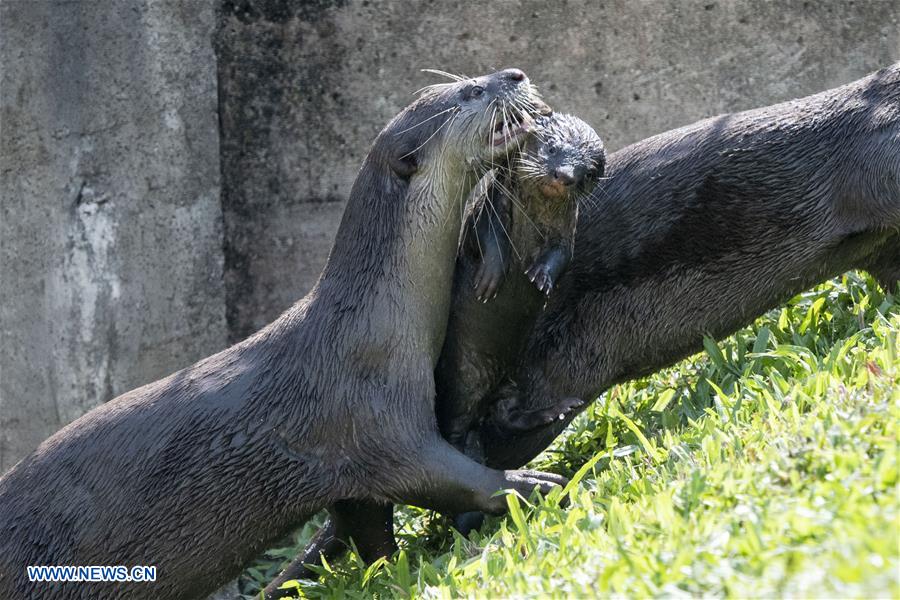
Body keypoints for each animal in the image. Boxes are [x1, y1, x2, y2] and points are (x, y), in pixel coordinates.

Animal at [0, 68, 565, 600]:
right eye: (471, 92)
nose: (513, 75)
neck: (375, 320)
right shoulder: (371, 414)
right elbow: (434, 474)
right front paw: (523, 483)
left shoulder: (352, 478)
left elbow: (368, 528)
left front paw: (390, 573)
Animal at [263, 113, 606, 596]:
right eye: (550, 148)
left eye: (588, 170)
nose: (564, 176)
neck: (535, 217)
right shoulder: (489, 206)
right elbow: (487, 243)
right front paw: (493, 275)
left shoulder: (564, 230)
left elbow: (559, 256)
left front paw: (541, 277)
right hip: (457, 383)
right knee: (460, 440)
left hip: (507, 372)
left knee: (504, 414)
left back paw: (552, 411)